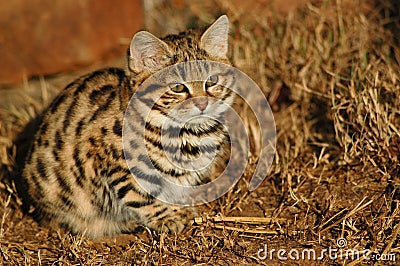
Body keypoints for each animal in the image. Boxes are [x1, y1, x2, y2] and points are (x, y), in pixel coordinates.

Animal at [22, 15, 234, 238]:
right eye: (177, 87)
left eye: (212, 80)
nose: (202, 104)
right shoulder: (113, 165)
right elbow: (143, 196)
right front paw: (169, 217)